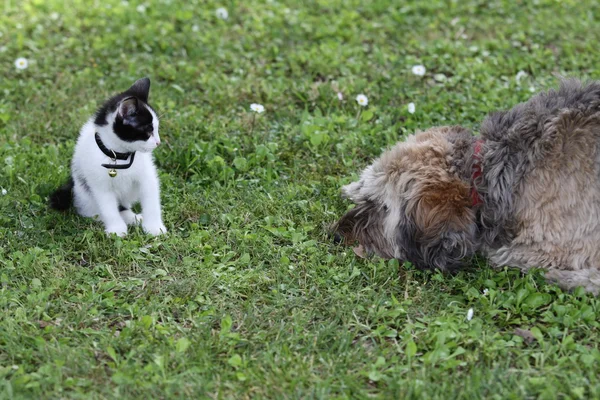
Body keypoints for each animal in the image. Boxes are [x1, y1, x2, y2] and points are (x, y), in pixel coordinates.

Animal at [48, 76, 166, 236]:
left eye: (156, 129)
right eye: (148, 131)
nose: (158, 142)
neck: (119, 155)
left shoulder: (147, 176)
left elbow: (151, 200)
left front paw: (154, 227)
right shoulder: (99, 184)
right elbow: (108, 207)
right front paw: (116, 230)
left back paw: (133, 217)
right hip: (83, 193)